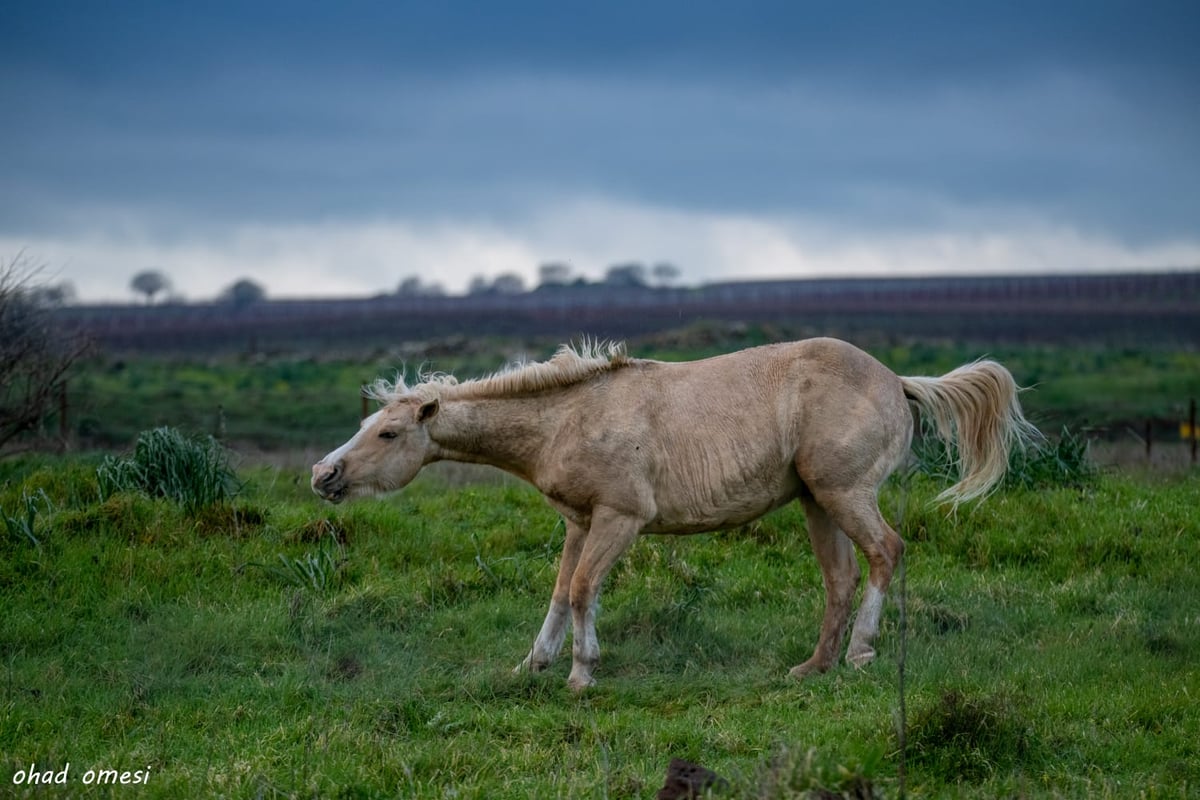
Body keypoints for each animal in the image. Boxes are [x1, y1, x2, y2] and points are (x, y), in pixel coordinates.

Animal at [314, 338, 1036, 690]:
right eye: (366, 425)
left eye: (387, 433)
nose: (323, 475)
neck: (566, 417)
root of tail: (897, 380)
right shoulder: (580, 524)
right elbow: (559, 594)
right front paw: (532, 666)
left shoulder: (618, 520)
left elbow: (584, 590)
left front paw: (582, 673)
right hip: (818, 503)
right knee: (841, 579)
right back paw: (814, 668)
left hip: (845, 495)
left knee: (885, 554)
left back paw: (859, 654)